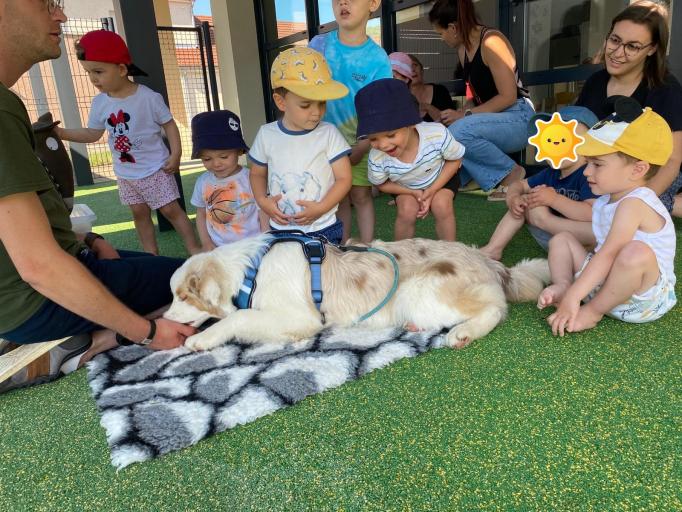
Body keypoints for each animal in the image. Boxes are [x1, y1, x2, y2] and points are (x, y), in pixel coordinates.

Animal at [163, 235, 548, 348]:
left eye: (182, 296)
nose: (164, 318)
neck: (250, 271)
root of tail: (488, 261)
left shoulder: (301, 318)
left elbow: (240, 316)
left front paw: (201, 339)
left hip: (419, 290)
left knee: (496, 307)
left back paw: (464, 332)